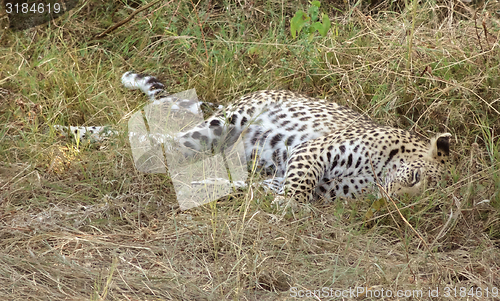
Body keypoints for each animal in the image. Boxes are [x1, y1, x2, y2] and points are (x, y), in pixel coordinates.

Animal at [54, 72, 454, 203]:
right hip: (221, 124)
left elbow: (259, 190)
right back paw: (76, 140)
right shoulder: (312, 152)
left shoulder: (297, 182)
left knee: (160, 149)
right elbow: (298, 188)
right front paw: (286, 209)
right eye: (414, 178)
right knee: (147, 145)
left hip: (210, 144)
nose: (393, 202)